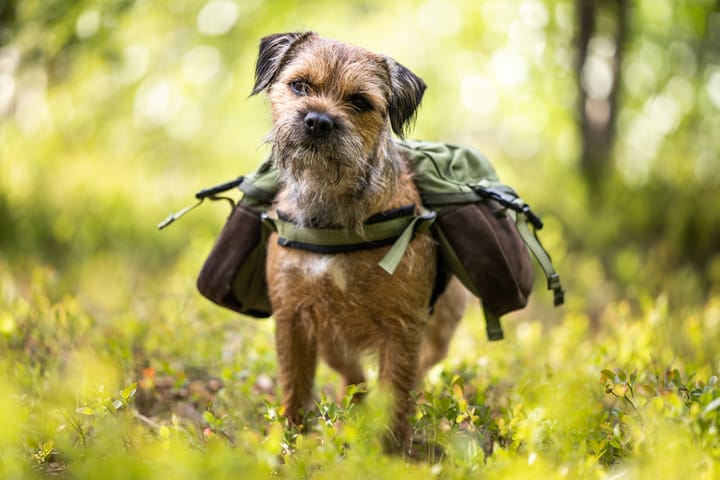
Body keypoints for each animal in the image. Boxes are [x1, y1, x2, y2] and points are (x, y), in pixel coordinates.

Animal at [252, 31, 466, 454]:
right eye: (299, 86)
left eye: (360, 102)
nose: (318, 120)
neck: (330, 200)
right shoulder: (293, 317)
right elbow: (294, 385)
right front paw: (289, 443)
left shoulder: (403, 326)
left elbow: (397, 390)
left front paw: (389, 453)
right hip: (330, 338)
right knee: (351, 373)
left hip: (437, 332)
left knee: (415, 372)